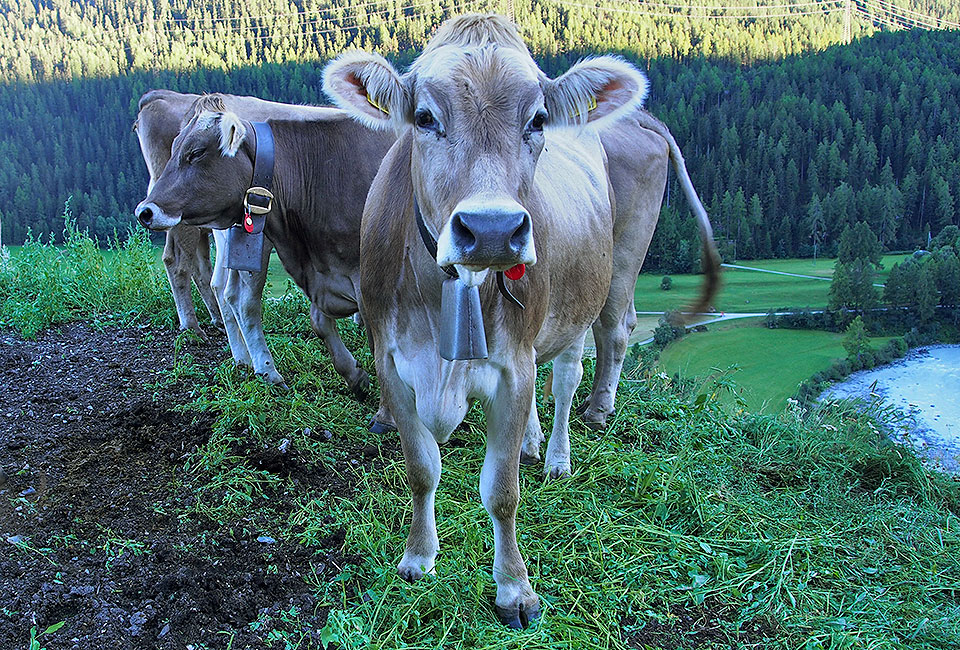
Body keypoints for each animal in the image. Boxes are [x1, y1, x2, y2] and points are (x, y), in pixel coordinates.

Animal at [133, 91, 396, 394]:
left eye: (196, 152)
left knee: (219, 285)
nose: (144, 211)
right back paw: (252, 362)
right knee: (227, 291)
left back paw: (241, 357)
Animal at [322, 12, 660, 624]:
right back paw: (533, 442)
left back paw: (556, 456)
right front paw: (418, 558)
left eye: (538, 119)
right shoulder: (391, 363)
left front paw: (514, 589)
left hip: (589, 298)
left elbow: (502, 491)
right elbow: (421, 468)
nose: (493, 229)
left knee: (569, 377)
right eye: (424, 117)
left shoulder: (512, 367)